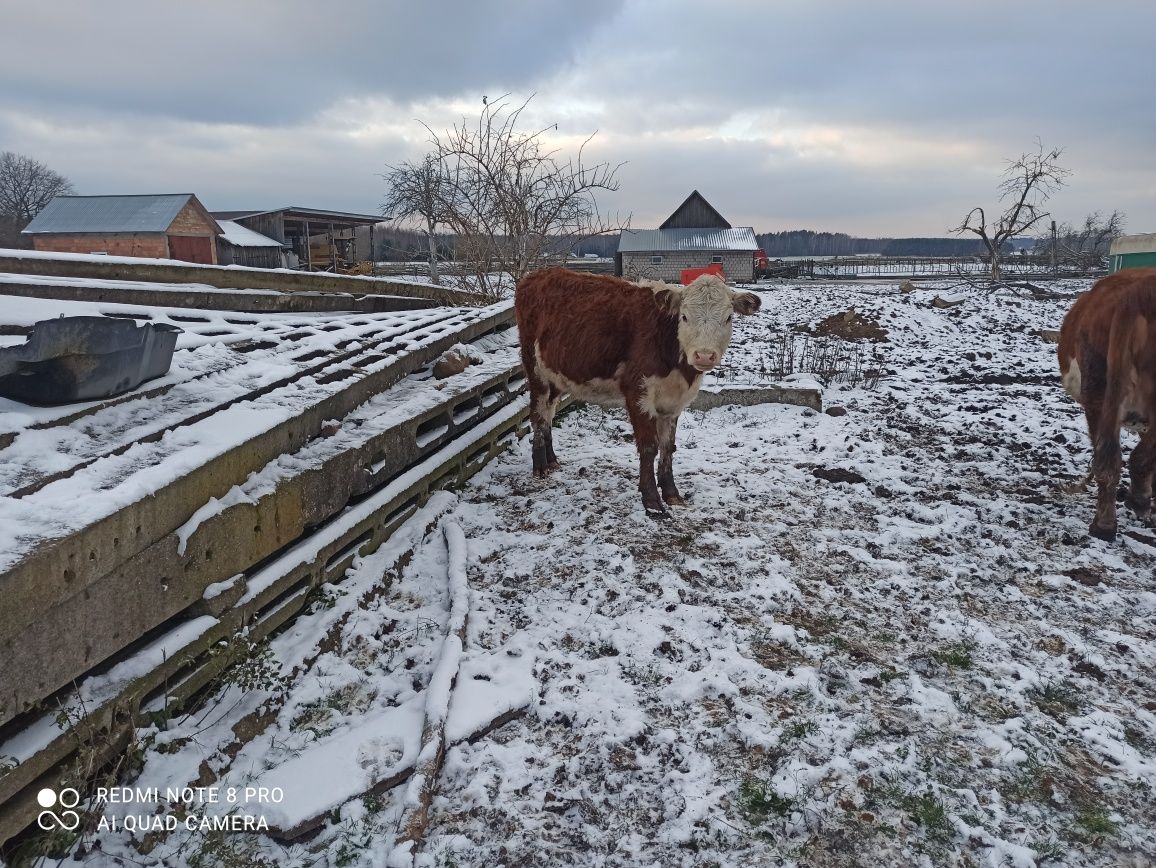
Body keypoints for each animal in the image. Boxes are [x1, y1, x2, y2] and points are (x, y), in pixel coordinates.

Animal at [515, 268, 758, 520]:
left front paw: (671, 494)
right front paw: (652, 501)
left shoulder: (673, 403)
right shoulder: (638, 393)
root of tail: (538, 274)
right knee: (538, 413)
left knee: (549, 411)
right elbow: (649, 447)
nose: (704, 355)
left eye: (728, 318)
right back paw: (540, 466)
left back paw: (552, 460)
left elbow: (668, 447)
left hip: (556, 374)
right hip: (535, 369)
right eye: (684, 317)